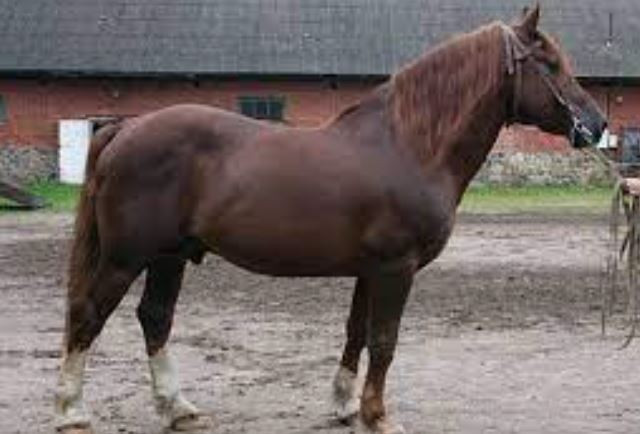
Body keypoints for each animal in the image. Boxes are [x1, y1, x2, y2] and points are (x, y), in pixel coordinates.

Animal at [55, 6, 607, 434]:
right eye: (549, 63)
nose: (596, 124)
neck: (409, 145)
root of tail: (126, 129)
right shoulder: (395, 267)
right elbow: (384, 341)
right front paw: (378, 415)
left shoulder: (370, 270)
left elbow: (356, 332)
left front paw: (344, 406)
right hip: (127, 258)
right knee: (88, 313)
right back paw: (71, 411)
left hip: (169, 256)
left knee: (155, 318)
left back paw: (178, 410)